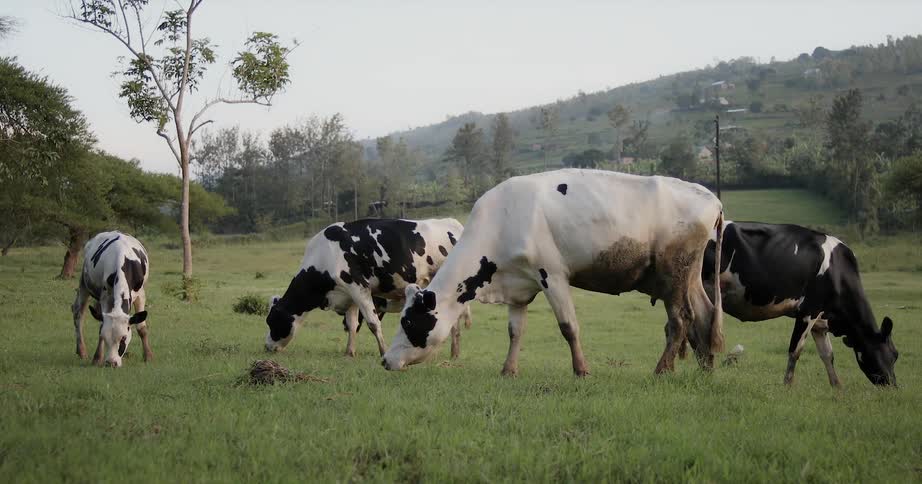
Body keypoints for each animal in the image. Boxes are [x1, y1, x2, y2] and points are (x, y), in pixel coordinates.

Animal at [72, 231, 151, 368]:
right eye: (105, 337)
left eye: (124, 338)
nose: (111, 363)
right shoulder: (106, 297)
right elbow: (101, 326)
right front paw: (97, 358)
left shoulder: (140, 294)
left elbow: (141, 328)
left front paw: (148, 356)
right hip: (84, 281)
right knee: (78, 313)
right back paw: (82, 351)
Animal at [265, 218, 472, 358]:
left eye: (271, 321)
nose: (266, 347)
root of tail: (452, 222)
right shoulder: (349, 294)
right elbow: (351, 324)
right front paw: (349, 352)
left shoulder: (358, 286)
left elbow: (372, 323)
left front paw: (383, 351)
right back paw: (454, 353)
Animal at [382, 169, 725, 376]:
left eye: (408, 321)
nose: (384, 360)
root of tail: (709, 196)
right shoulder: (518, 287)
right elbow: (515, 331)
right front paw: (508, 370)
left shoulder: (552, 275)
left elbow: (568, 327)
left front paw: (581, 370)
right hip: (689, 275)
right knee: (705, 314)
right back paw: (706, 368)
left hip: (673, 272)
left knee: (680, 320)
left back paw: (662, 370)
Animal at [700, 221, 898, 386]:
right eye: (893, 355)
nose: (893, 386)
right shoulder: (808, 311)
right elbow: (795, 350)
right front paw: (787, 386)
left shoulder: (820, 321)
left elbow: (827, 354)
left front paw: (838, 389)